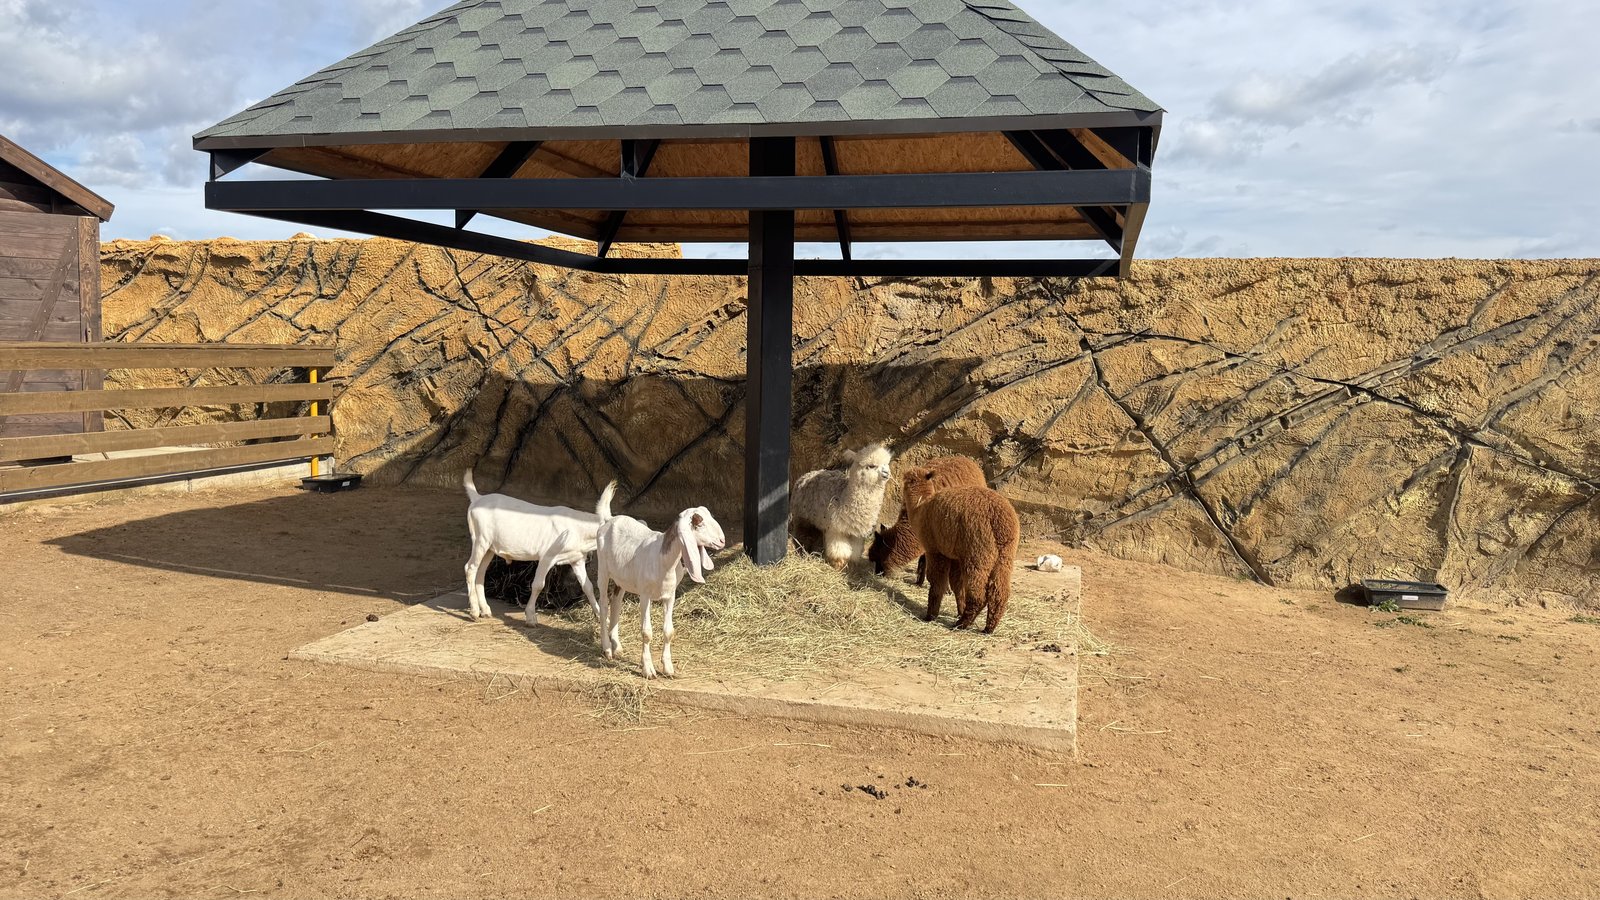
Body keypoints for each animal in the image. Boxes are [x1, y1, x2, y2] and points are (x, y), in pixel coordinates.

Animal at [462, 471, 600, 625]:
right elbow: (538, 585)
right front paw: (531, 617)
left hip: (490, 548)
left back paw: (485, 610)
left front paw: (600, 616)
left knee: (480, 572)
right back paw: (474, 612)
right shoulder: (547, 557)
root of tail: (478, 498)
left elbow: (588, 586)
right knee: (470, 568)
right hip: (480, 540)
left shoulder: (577, 559)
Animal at [594, 481, 726, 679]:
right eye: (699, 523)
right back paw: (607, 649)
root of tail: (609, 520)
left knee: (615, 602)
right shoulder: (644, 596)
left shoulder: (670, 595)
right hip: (602, 570)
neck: (663, 561)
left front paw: (668, 668)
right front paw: (648, 670)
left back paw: (617, 647)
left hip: (621, 579)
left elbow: (669, 631)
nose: (722, 541)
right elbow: (646, 632)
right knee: (603, 606)